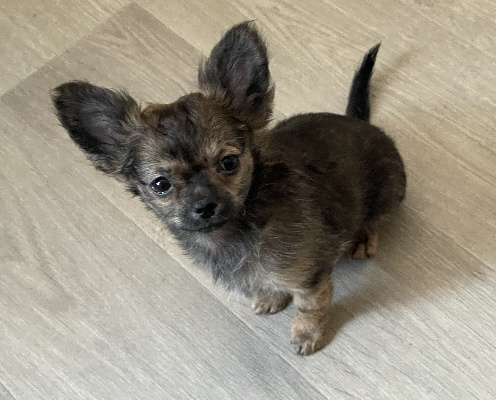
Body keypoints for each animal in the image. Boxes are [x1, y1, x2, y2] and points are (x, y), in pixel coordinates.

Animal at [51, 22, 406, 355]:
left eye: (229, 163)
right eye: (161, 184)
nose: (204, 206)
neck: (239, 230)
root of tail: (362, 122)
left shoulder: (309, 281)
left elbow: (310, 309)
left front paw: (307, 335)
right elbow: (268, 286)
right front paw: (271, 296)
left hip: (389, 193)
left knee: (374, 219)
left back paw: (363, 237)